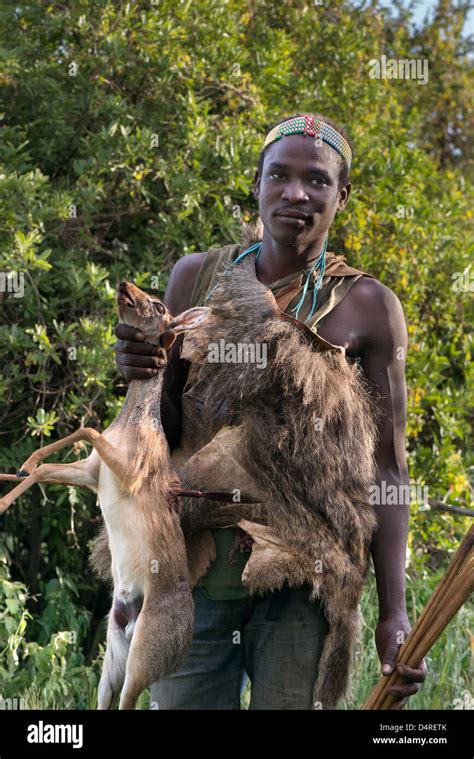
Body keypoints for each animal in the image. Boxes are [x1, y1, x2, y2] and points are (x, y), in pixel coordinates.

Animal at [0, 282, 211, 708]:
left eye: (159, 305)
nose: (126, 286)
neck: (130, 425)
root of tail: (182, 648)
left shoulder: (130, 474)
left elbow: (87, 427)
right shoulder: (94, 473)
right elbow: (51, 465)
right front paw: (18, 474)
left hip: (141, 662)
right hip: (112, 659)